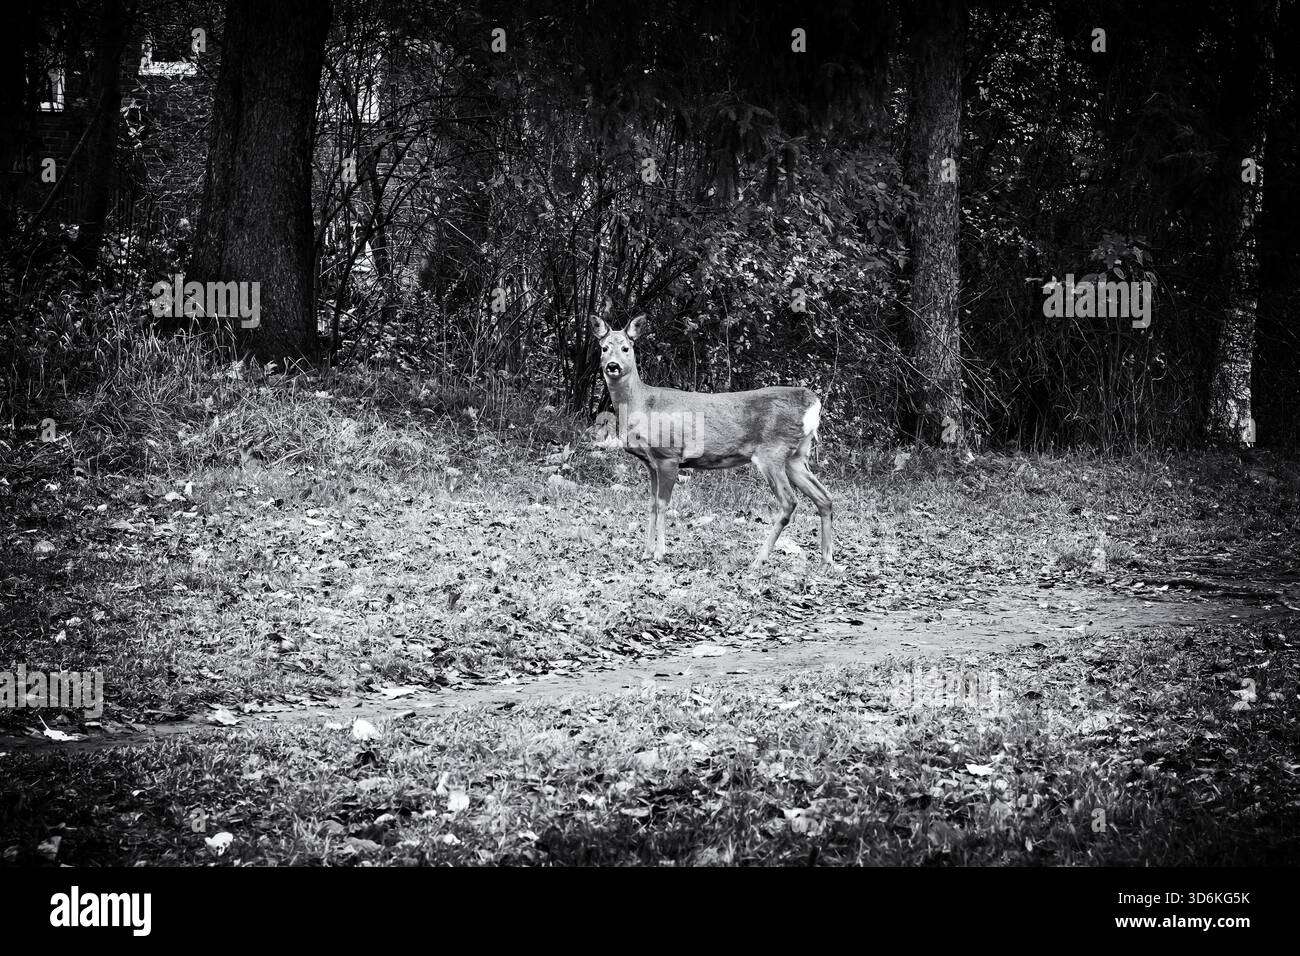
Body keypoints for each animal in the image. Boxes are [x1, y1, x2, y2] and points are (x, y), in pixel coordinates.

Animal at [589, 304, 834, 567]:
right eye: (604, 348)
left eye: (626, 348)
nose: (612, 365)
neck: (642, 404)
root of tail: (814, 403)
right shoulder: (650, 462)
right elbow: (652, 504)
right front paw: (645, 552)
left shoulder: (669, 455)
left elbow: (663, 504)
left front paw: (659, 553)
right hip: (795, 456)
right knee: (824, 497)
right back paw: (827, 561)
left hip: (772, 452)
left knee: (789, 502)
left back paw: (759, 559)